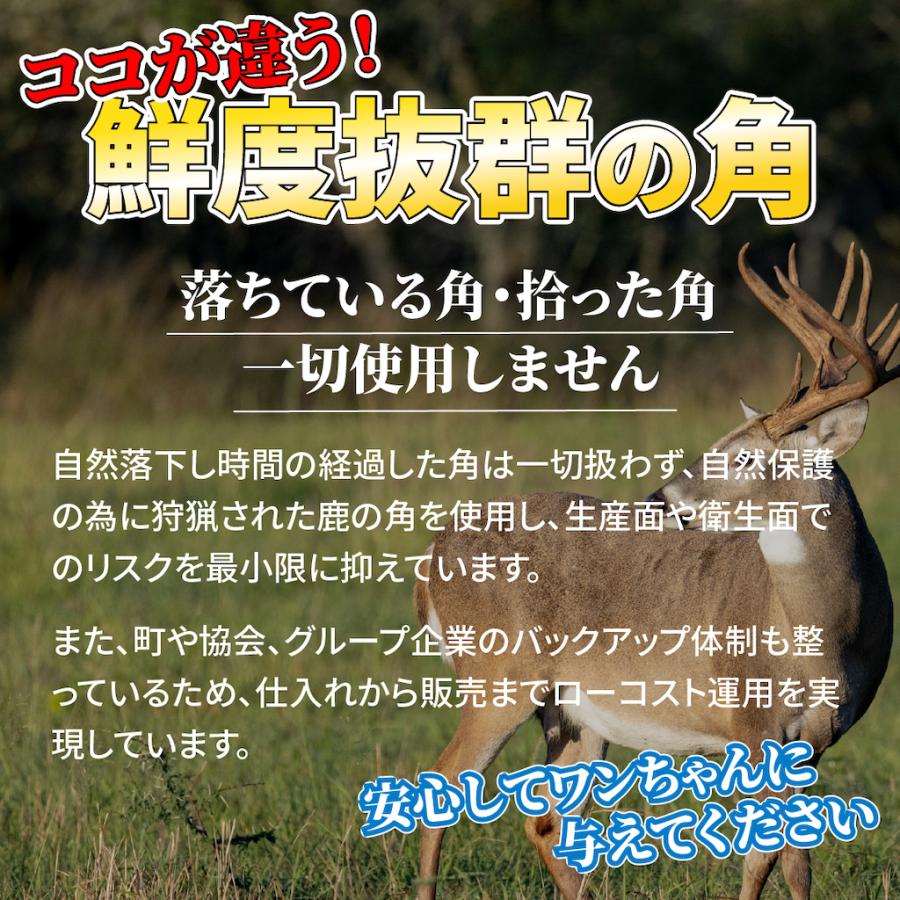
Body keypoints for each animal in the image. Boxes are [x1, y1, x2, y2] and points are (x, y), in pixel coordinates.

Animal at [413, 243, 897, 900]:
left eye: (745, 456)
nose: (659, 500)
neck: (821, 636)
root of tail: (431, 558)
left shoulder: (819, 737)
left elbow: (785, 857)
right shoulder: (753, 721)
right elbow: (775, 856)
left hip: (573, 712)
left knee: (545, 821)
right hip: (496, 675)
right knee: (440, 786)